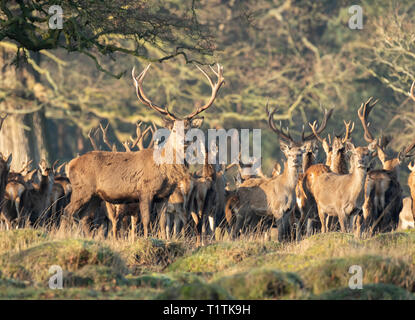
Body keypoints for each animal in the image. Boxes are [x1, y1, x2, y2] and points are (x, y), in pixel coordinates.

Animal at [65, 63, 226, 240]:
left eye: (189, 128)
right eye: (174, 130)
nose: (185, 141)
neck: (163, 168)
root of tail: (69, 165)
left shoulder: (163, 196)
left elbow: (162, 224)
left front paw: (163, 239)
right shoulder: (145, 191)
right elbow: (147, 221)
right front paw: (147, 239)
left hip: (94, 196)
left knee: (84, 218)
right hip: (82, 189)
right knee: (67, 211)